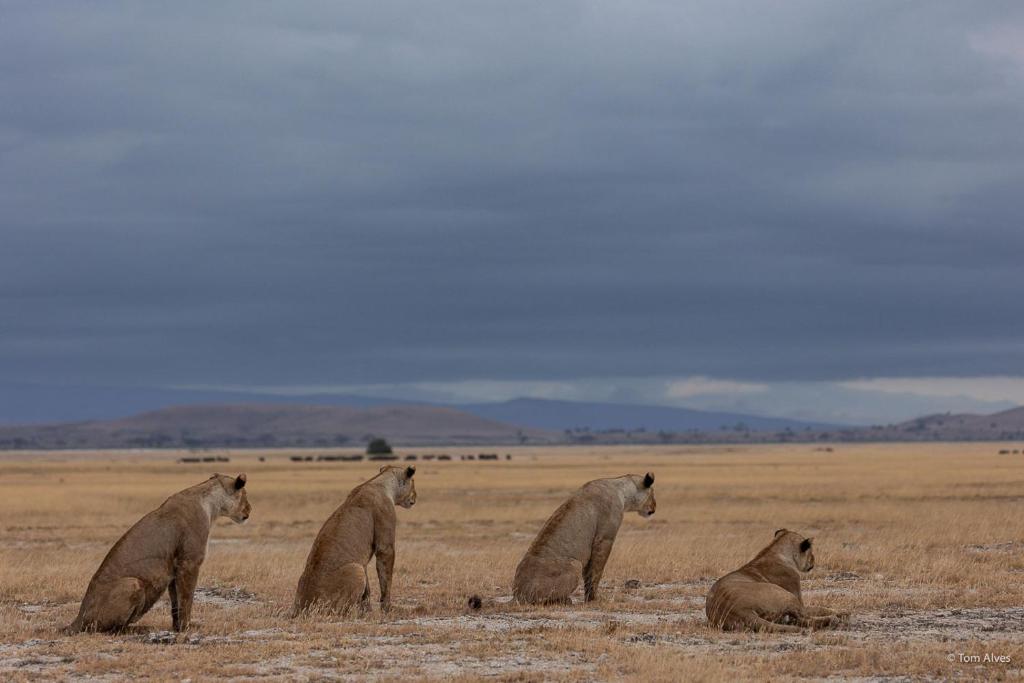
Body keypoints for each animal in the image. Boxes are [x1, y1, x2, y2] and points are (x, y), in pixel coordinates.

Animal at [64, 473, 250, 634]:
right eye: (245, 495)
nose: (249, 510)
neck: (211, 504)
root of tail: (77, 619)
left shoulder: (174, 570)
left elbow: (176, 603)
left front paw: (177, 627)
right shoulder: (189, 563)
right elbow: (187, 599)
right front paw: (186, 628)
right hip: (132, 583)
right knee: (110, 629)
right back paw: (141, 628)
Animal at [293, 465, 416, 615]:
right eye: (413, 483)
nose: (415, 497)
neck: (380, 482)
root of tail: (300, 608)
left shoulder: (362, 563)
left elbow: (367, 590)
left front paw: (368, 610)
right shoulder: (384, 545)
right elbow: (386, 578)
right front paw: (387, 608)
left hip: (356, 568)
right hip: (355, 569)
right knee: (342, 611)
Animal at [512, 472, 655, 605]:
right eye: (652, 494)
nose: (654, 508)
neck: (621, 489)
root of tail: (517, 595)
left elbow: (588, 574)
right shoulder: (604, 539)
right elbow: (596, 572)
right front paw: (594, 599)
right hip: (575, 564)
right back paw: (565, 600)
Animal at [705, 528, 845, 633]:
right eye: (811, 551)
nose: (813, 561)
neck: (776, 552)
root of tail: (737, 609)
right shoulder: (797, 594)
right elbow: (820, 608)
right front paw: (842, 612)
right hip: (785, 595)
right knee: (804, 618)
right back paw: (833, 619)